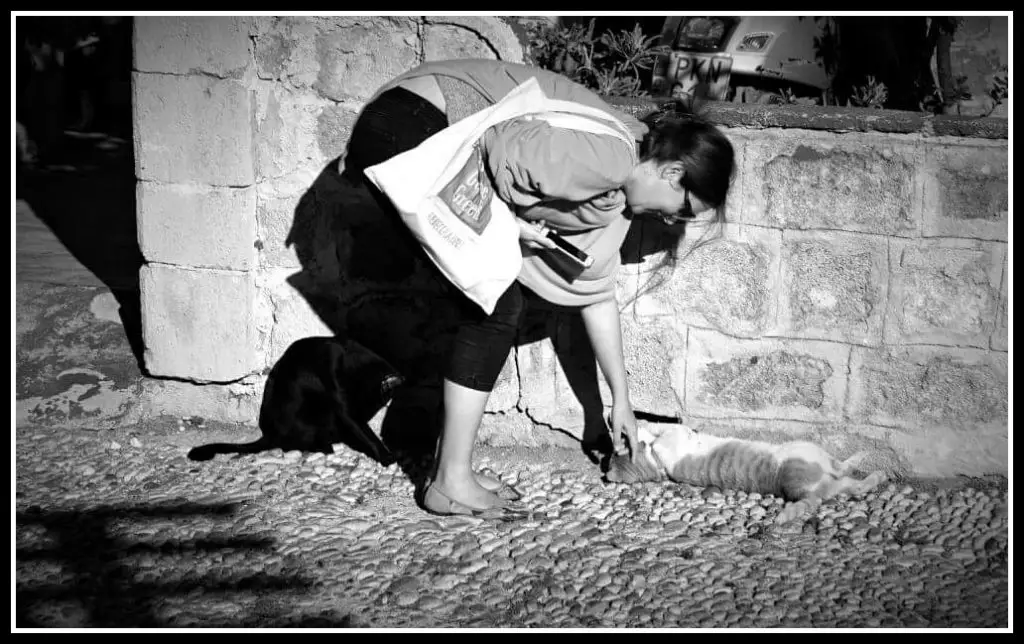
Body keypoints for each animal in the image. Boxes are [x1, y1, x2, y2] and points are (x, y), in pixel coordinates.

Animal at [188, 333, 403, 464]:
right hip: (317, 410)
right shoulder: (343, 402)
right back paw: (326, 447)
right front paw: (386, 456)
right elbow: (364, 432)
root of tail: (269, 434)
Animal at [602, 421, 884, 522]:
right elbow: (663, 428)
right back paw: (872, 471)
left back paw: (867, 465)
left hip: (823, 470)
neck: (655, 464)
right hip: (811, 466)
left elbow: (658, 428)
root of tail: (803, 495)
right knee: (845, 477)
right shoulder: (669, 441)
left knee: (845, 475)